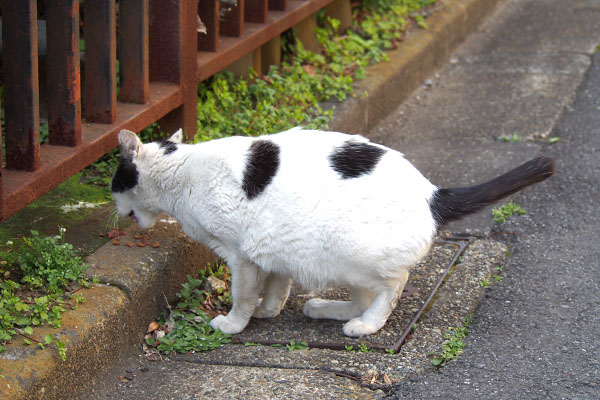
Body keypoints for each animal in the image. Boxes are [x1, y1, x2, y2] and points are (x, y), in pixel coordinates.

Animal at [111, 126, 552, 336]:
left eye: (115, 183)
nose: (112, 206)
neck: (180, 170)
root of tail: (433, 194)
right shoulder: (268, 250)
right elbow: (276, 286)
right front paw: (269, 311)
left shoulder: (241, 255)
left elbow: (242, 295)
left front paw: (236, 322)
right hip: (339, 262)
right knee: (361, 297)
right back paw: (325, 308)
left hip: (351, 251)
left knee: (393, 286)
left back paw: (367, 325)